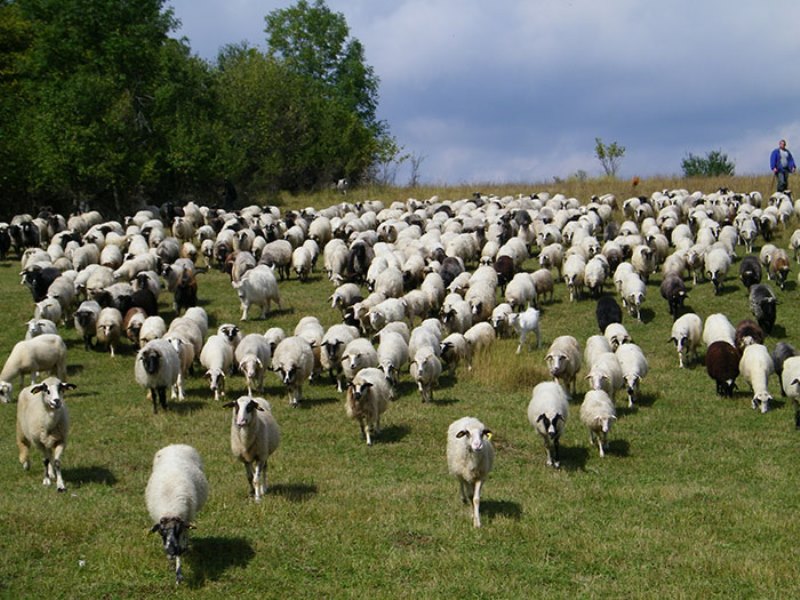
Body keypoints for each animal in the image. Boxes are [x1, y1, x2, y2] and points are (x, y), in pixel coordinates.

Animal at [145, 442, 209, 584]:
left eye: (177, 530)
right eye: (161, 532)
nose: (171, 552)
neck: (170, 508)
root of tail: (175, 445)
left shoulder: (184, 524)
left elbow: (181, 547)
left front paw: (179, 575)